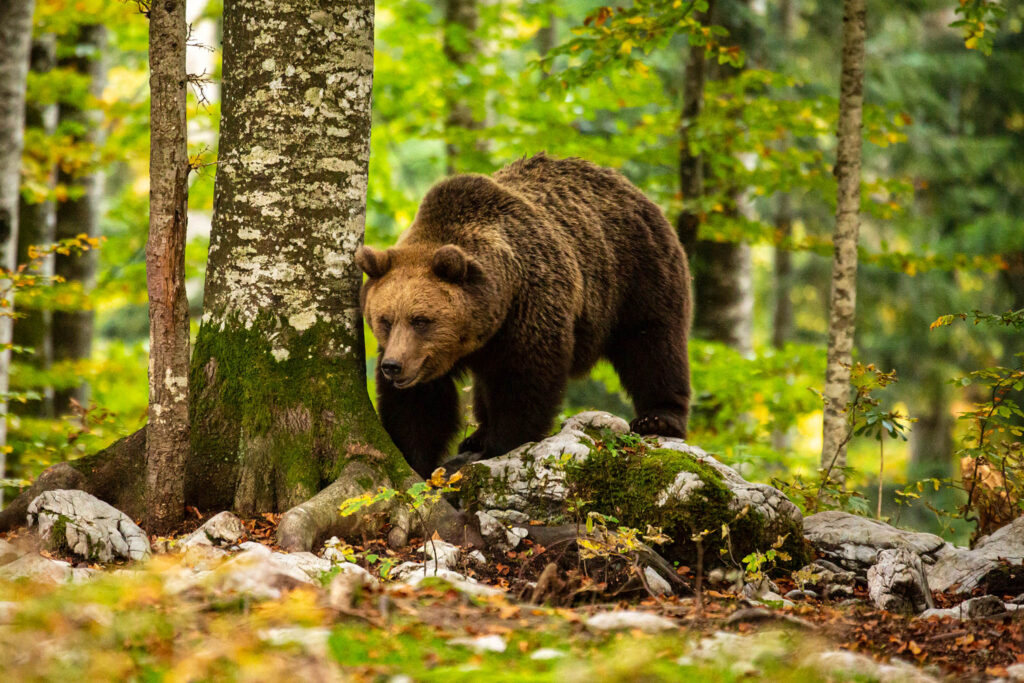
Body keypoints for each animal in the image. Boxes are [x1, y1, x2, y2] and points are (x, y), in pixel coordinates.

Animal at [356, 152, 692, 479]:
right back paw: (476, 434)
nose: (393, 366)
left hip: (638, 271)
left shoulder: (530, 304)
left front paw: (501, 445)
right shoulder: (429, 357)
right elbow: (419, 406)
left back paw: (659, 418)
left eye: (421, 320)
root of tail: (627, 186)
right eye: (385, 320)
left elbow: (524, 381)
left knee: (652, 343)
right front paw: (415, 460)